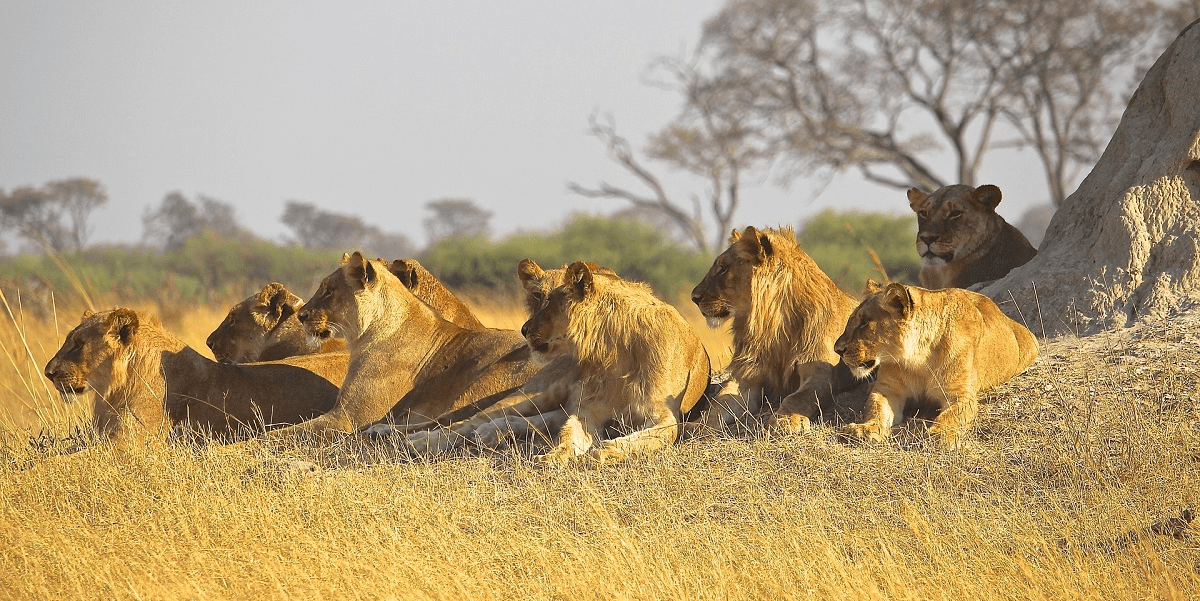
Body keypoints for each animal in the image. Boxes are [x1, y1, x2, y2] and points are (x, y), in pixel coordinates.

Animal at [691, 225, 868, 431]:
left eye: (723, 268)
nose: (694, 297)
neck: (773, 326)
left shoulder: (820, 372)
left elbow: (798, 397)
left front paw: (786, 420)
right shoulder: (746, 376)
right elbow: (719, 403)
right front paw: (695, 426)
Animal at [835, 279, 1041, 446]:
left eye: (864, 323)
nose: (837, 349)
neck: (917, 359)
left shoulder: (960, 393)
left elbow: (952, 415)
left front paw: (939, 434)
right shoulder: (888, 389)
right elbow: (876, 408)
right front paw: (864, 428)